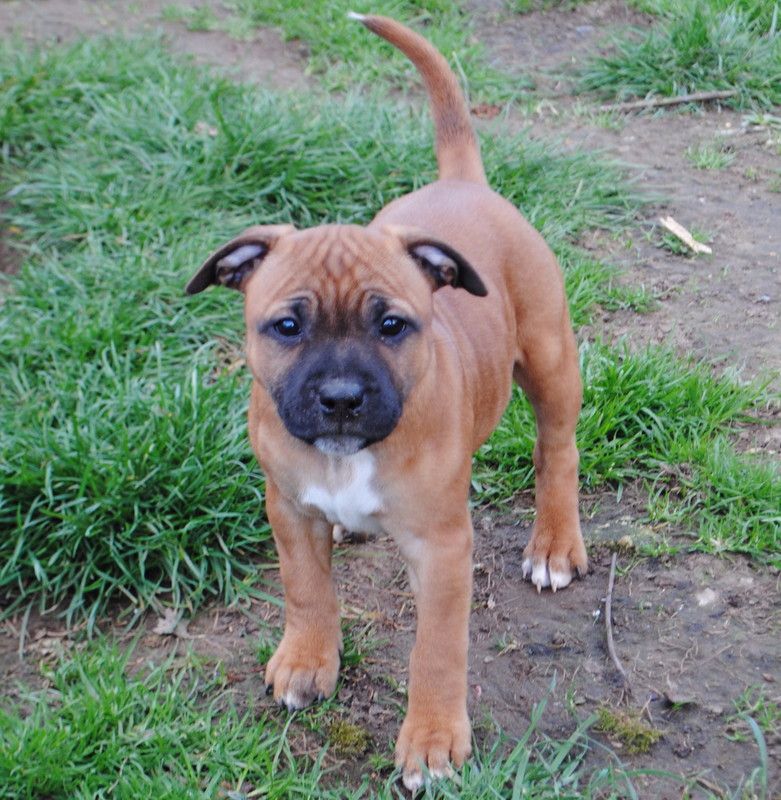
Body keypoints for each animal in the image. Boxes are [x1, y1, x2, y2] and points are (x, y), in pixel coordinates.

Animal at [186, 13, 587, 792]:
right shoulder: (288, 508)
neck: (349, 459)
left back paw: (555, 543)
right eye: (287, 327)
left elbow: (436, 650)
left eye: (392, 325)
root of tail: (461, 182)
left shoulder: (442, 550)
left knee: (557, 447)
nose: (341, 398)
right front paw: (307, 660)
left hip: (551, 358)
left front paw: (431, 741)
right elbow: (306, 587)